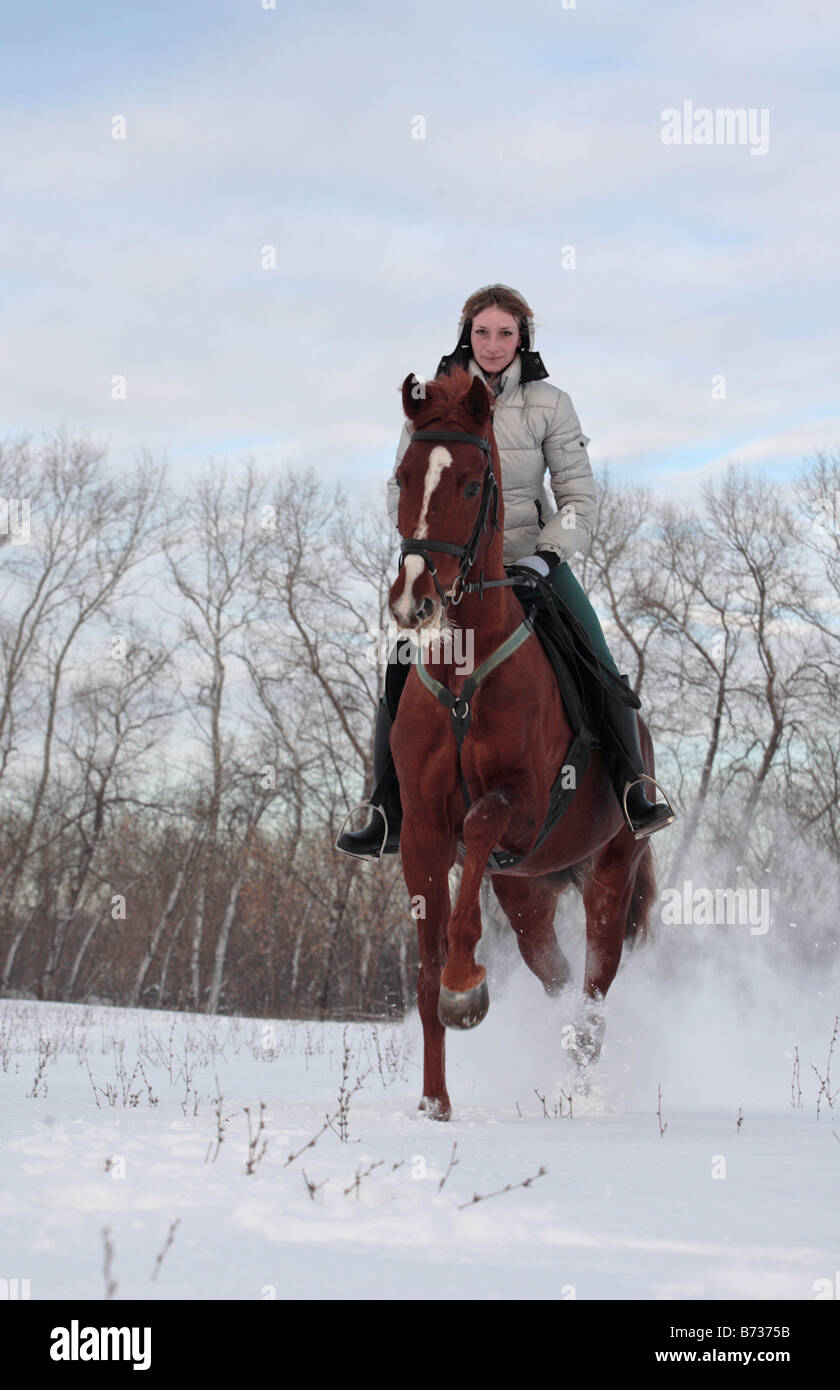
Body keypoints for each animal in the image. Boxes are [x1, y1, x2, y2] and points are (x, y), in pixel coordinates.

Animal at [386, 366, 656, 1117]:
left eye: (472, 484)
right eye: (403, 475)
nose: (415, 600)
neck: (463, 674)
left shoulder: (527, 806)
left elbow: (481, 822)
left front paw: (466, 986)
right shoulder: (422, 831)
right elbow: (423, 974)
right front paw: (434, 1103)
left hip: (610, 874)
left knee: (593, 992)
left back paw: (578, 1095)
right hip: (527, 891)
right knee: (558, 976)